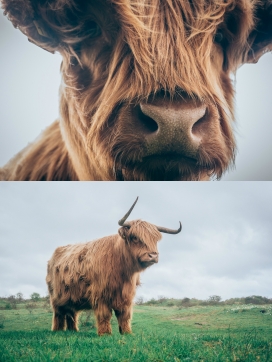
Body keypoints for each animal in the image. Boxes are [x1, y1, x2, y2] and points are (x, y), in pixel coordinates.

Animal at [45, 197, 182, 336]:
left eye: (155, 240)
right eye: (134, 237)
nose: (153, 256)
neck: (122, 270)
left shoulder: (126, 296)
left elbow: (124, 315)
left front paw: (127, 333)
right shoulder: (100, 294)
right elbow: (105, 315)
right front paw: (105, 334)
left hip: (71, 297)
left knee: (71, 313)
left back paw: (73, 331)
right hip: (56, 296)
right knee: (59, 313)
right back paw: (57, 330)